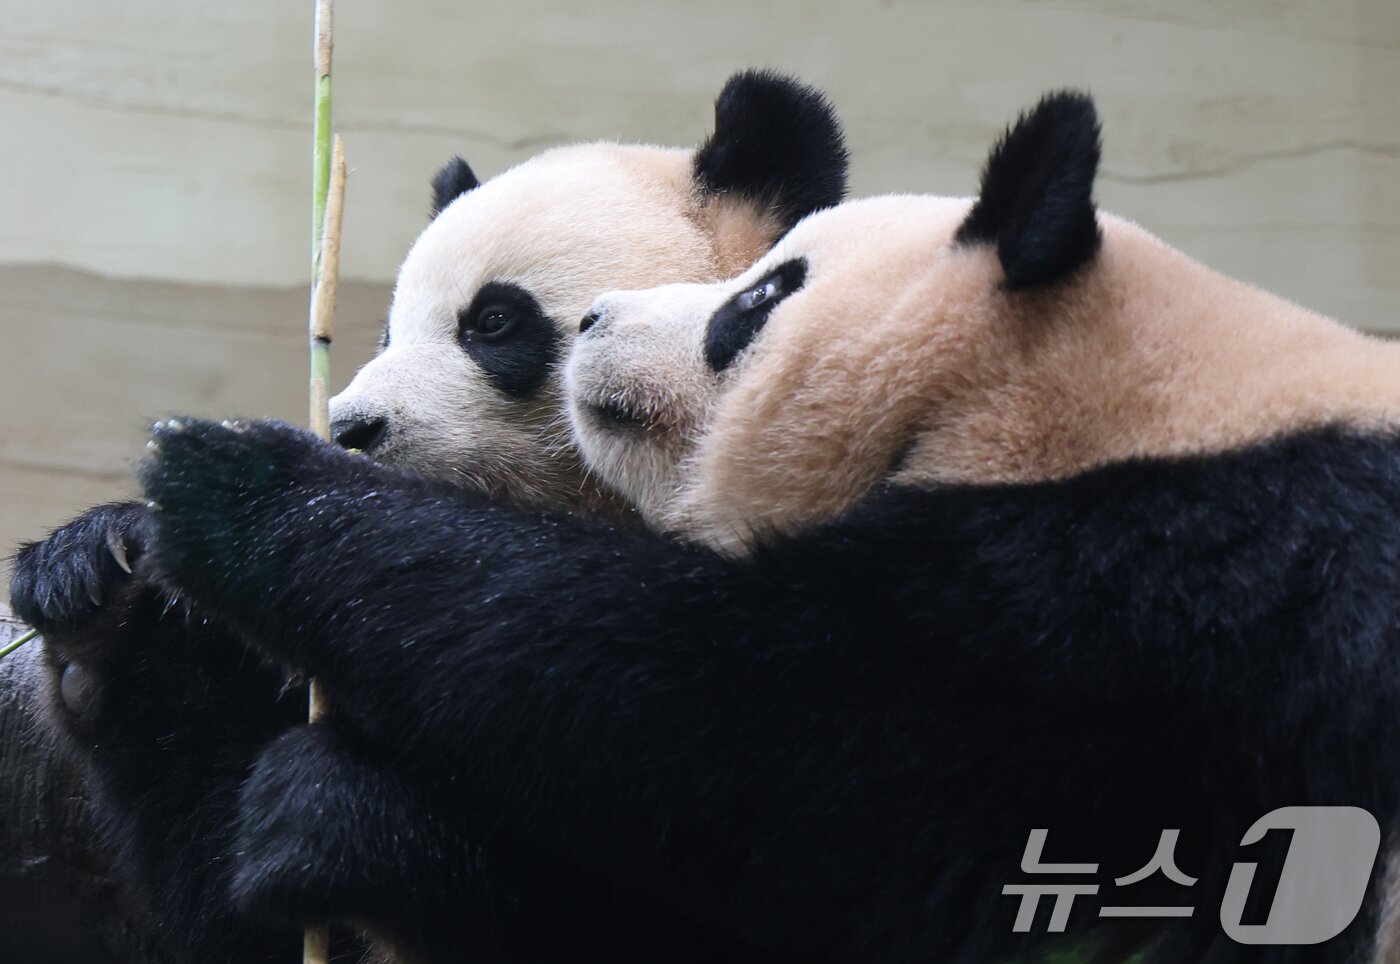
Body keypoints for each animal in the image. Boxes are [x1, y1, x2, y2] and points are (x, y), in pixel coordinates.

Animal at [9, 70, 848, 964]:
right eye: (385, 330)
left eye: (493, 320)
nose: (350, 428)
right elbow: (232, 911)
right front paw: (105, 584)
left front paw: (348, 821)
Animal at [127, 91, 1400, 964]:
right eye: (385, 327)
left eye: (492, 321)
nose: (352, 425)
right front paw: (115, 585)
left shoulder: (1133, 605)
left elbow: (759, 746)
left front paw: (242, 492)